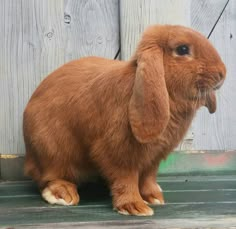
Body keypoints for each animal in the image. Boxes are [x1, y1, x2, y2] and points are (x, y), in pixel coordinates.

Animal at [24, 25, 227, 216]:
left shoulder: (154, 157)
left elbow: (148, 177)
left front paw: (153, 197)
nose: (222, 73)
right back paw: (64, 194)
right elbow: (126, 179)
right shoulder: (118, 152)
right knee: (48, 177)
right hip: (51, 151)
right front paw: (134, 207)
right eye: (183, 49)